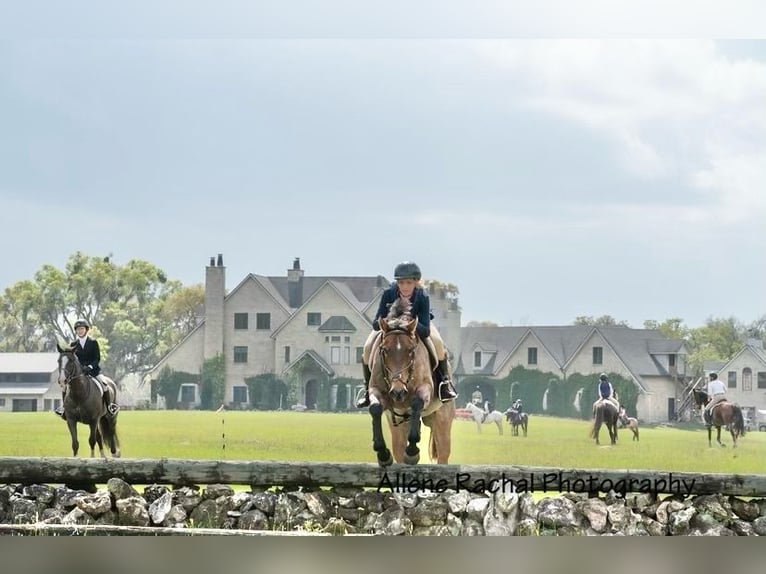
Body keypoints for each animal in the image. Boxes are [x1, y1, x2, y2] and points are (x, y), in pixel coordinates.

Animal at [368, 300, 452, 466]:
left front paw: (412, 453)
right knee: (399, 449)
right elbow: (375, 408)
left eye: (411, 351)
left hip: (442, 421)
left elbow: (417, 403)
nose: (398, 393)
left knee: (443, 454)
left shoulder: (425, 388)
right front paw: (382, 454)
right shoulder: (376, 390)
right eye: (384, 350)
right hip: (398, 425)